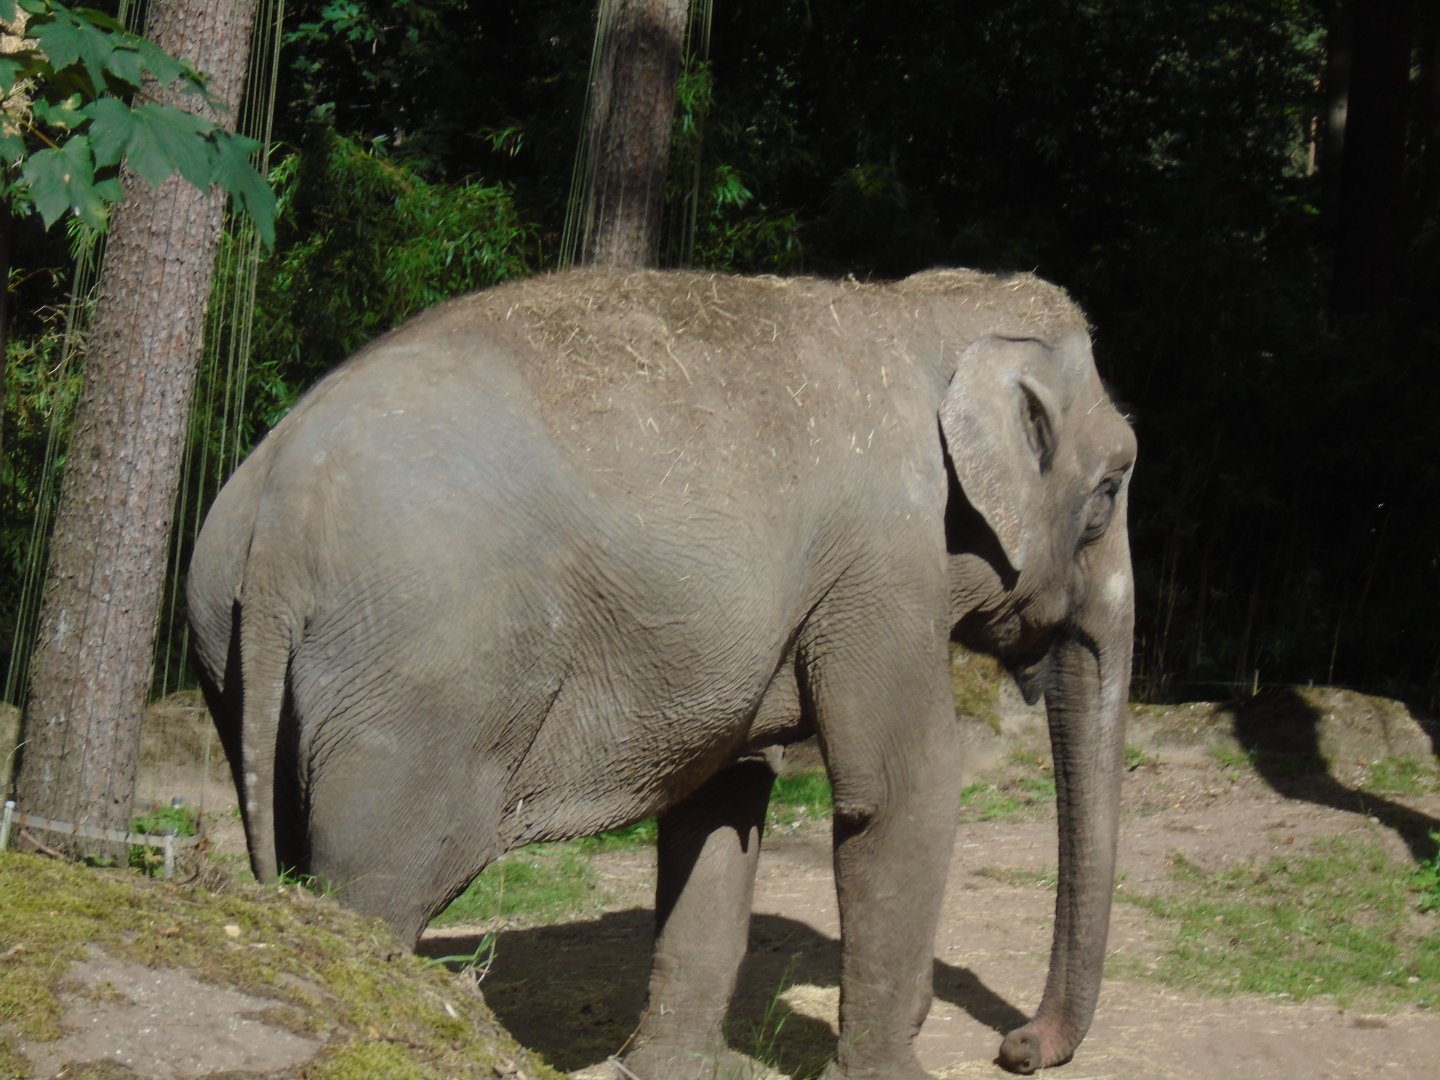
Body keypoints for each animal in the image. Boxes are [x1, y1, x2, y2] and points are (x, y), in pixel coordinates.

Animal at [187, 267, 1135, 1079]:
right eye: (1112, 490)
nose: (1020, 1046)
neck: (921, 307)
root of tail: (274, 522)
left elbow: (723, 801)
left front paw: (664, 1071)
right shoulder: (882, 563)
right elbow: (901, 791)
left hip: (240, 660)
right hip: (424, 680)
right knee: (390, 874)